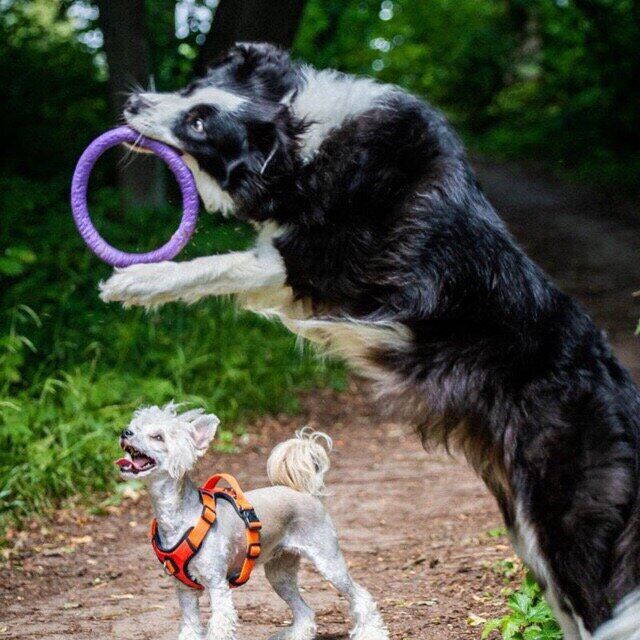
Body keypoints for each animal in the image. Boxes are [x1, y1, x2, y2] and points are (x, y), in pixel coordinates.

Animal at [118, 404, 390, 640]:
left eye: (158, 437)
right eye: (134, 426)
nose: (125, 432)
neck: (181, 516)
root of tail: (305, 493)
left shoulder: (218, 586)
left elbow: (218, 627)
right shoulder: (185, 592)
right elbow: (190, 628)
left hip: (329, 562)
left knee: (361, 597)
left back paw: (371, 632)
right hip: (280, 574)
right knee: (304, 610)